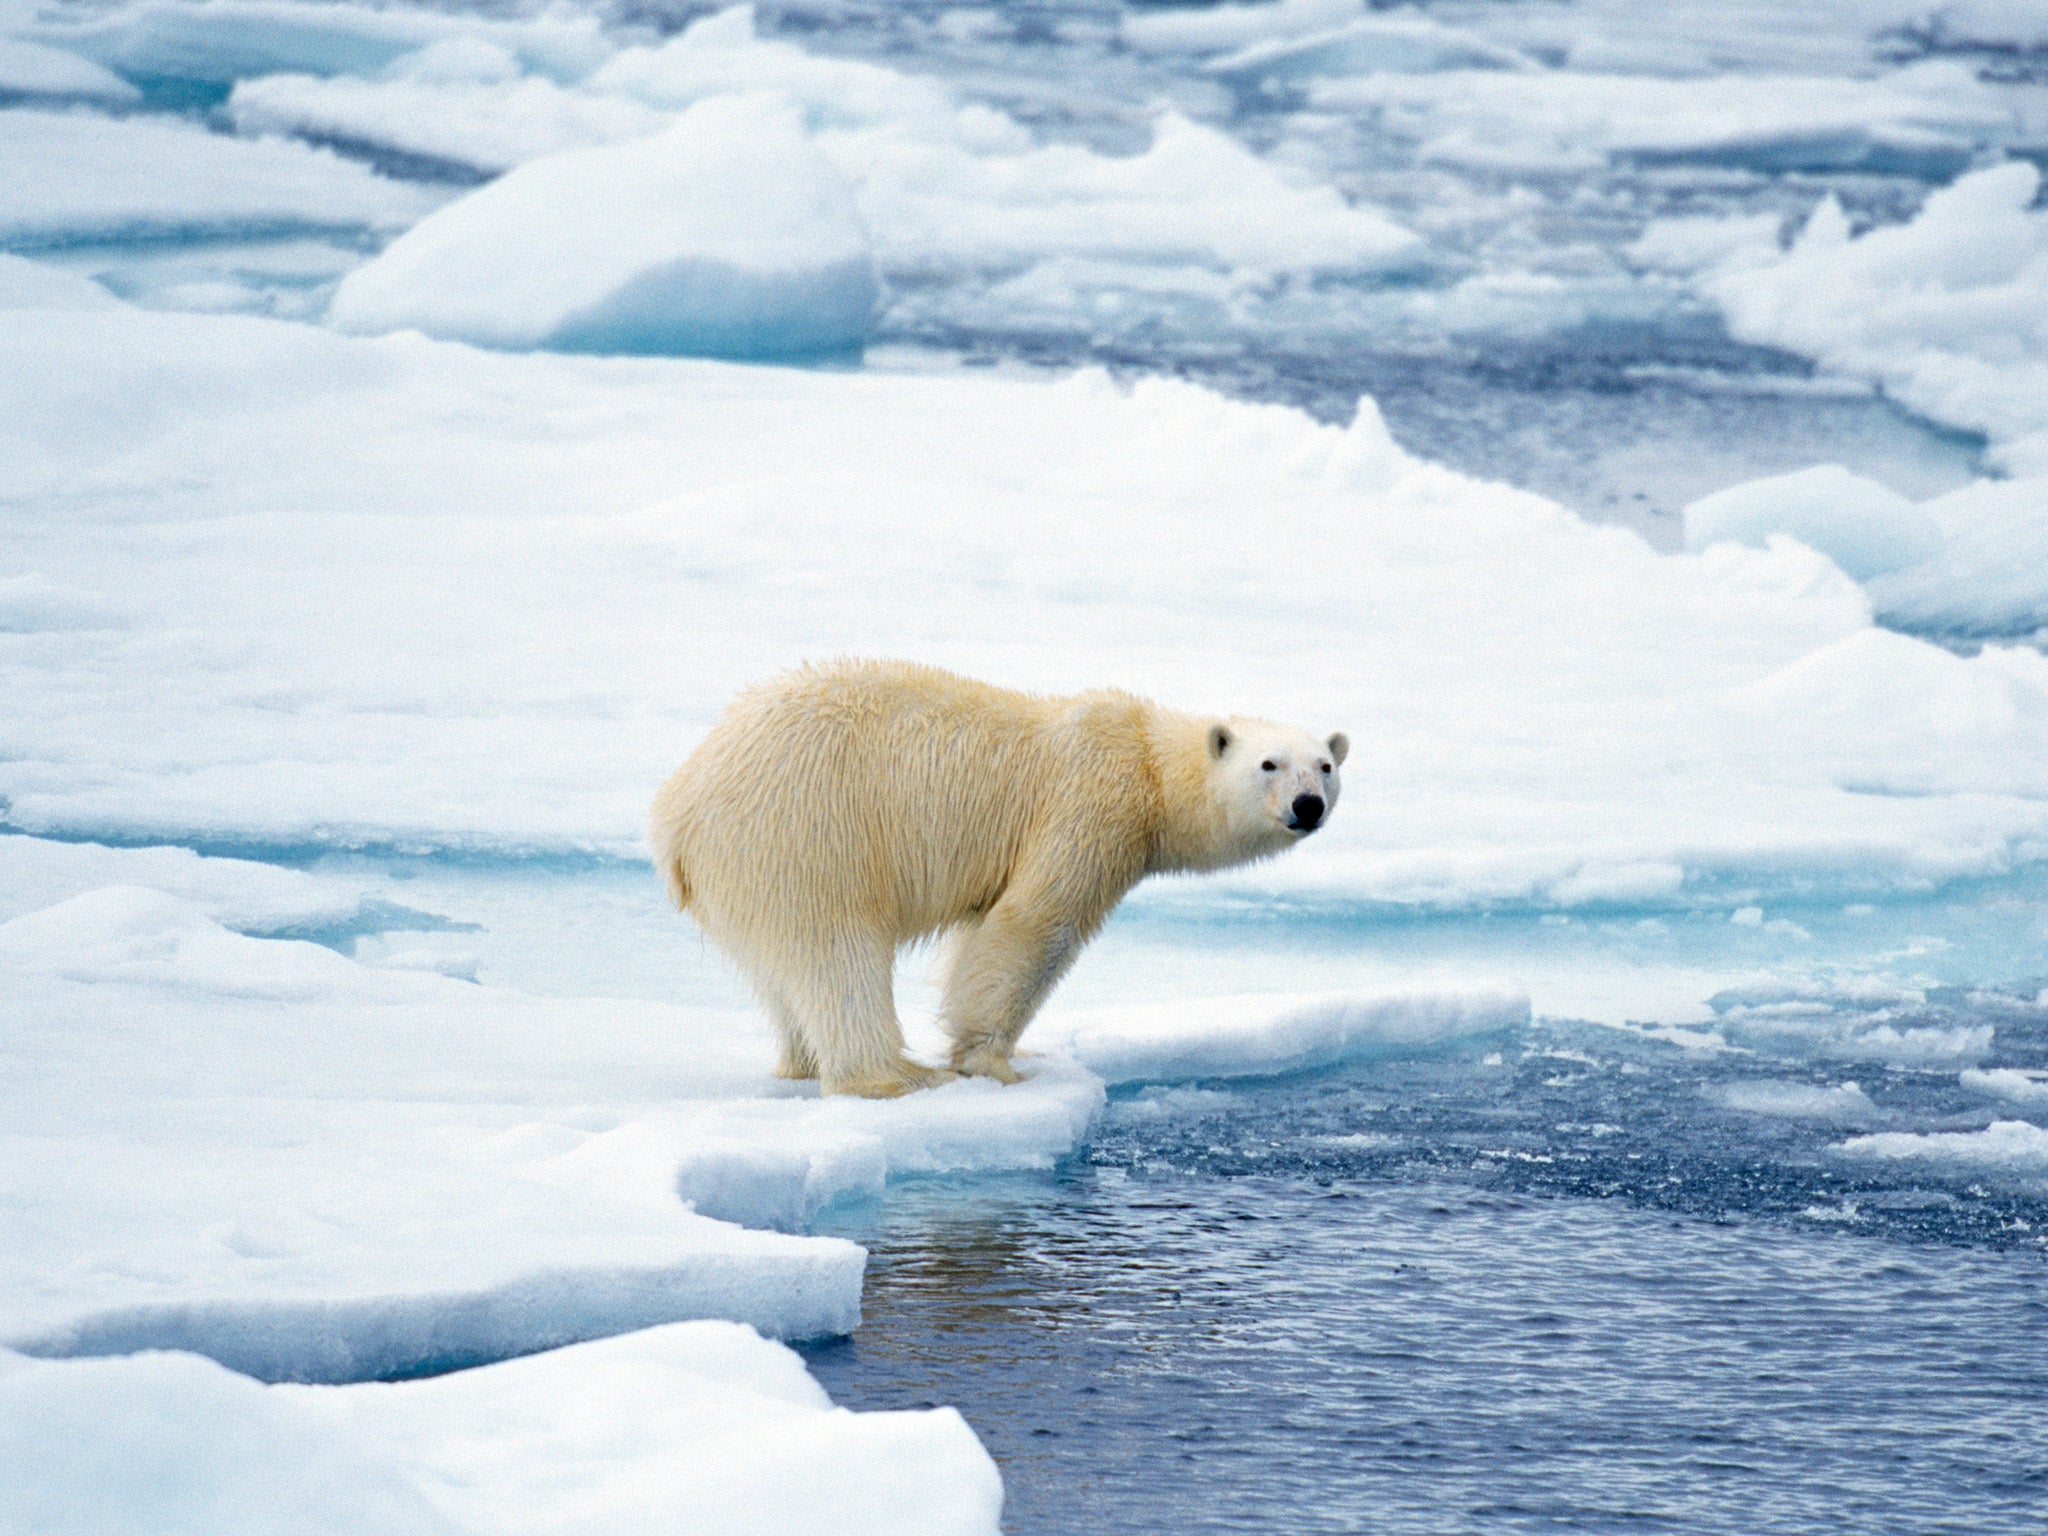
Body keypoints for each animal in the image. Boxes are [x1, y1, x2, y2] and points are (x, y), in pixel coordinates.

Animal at [649, 660, 1347, 1097]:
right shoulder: (1086, 809)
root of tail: (676, 811)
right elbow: (1032, 925)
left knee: (781, 971)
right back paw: (894, 1075)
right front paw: (995, 1063)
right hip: (807, 831)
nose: (1307, 806)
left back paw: (800, 1063)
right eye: (1269, 764)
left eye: (1325, 765)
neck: (1147, 763)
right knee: (837, 951)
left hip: (749, 870)